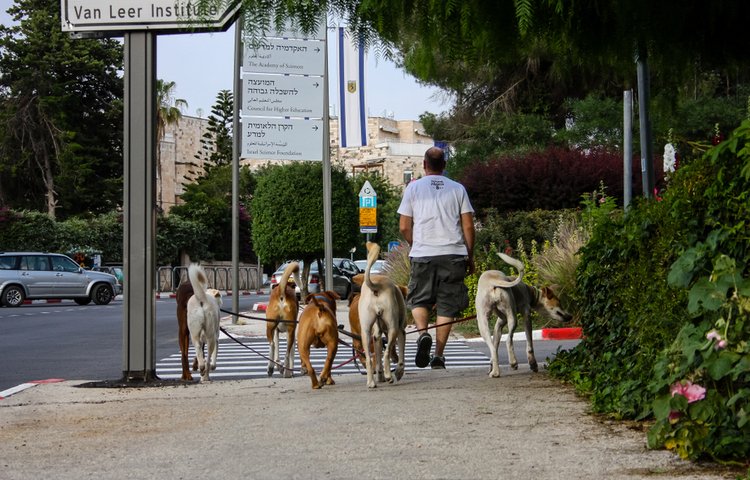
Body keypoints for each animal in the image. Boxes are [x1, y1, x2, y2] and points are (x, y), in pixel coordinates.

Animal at [358, 242, 406, 388]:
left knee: (369, 358)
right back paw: (389, 376)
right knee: (386, 353)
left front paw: (380, 376)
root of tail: (376, 286)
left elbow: (378, 358)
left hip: (366, 331)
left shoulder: (376, 336)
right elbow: (400, 356)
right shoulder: (401, 331)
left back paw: (371, 382)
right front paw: (398, 372)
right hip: (393, 327)